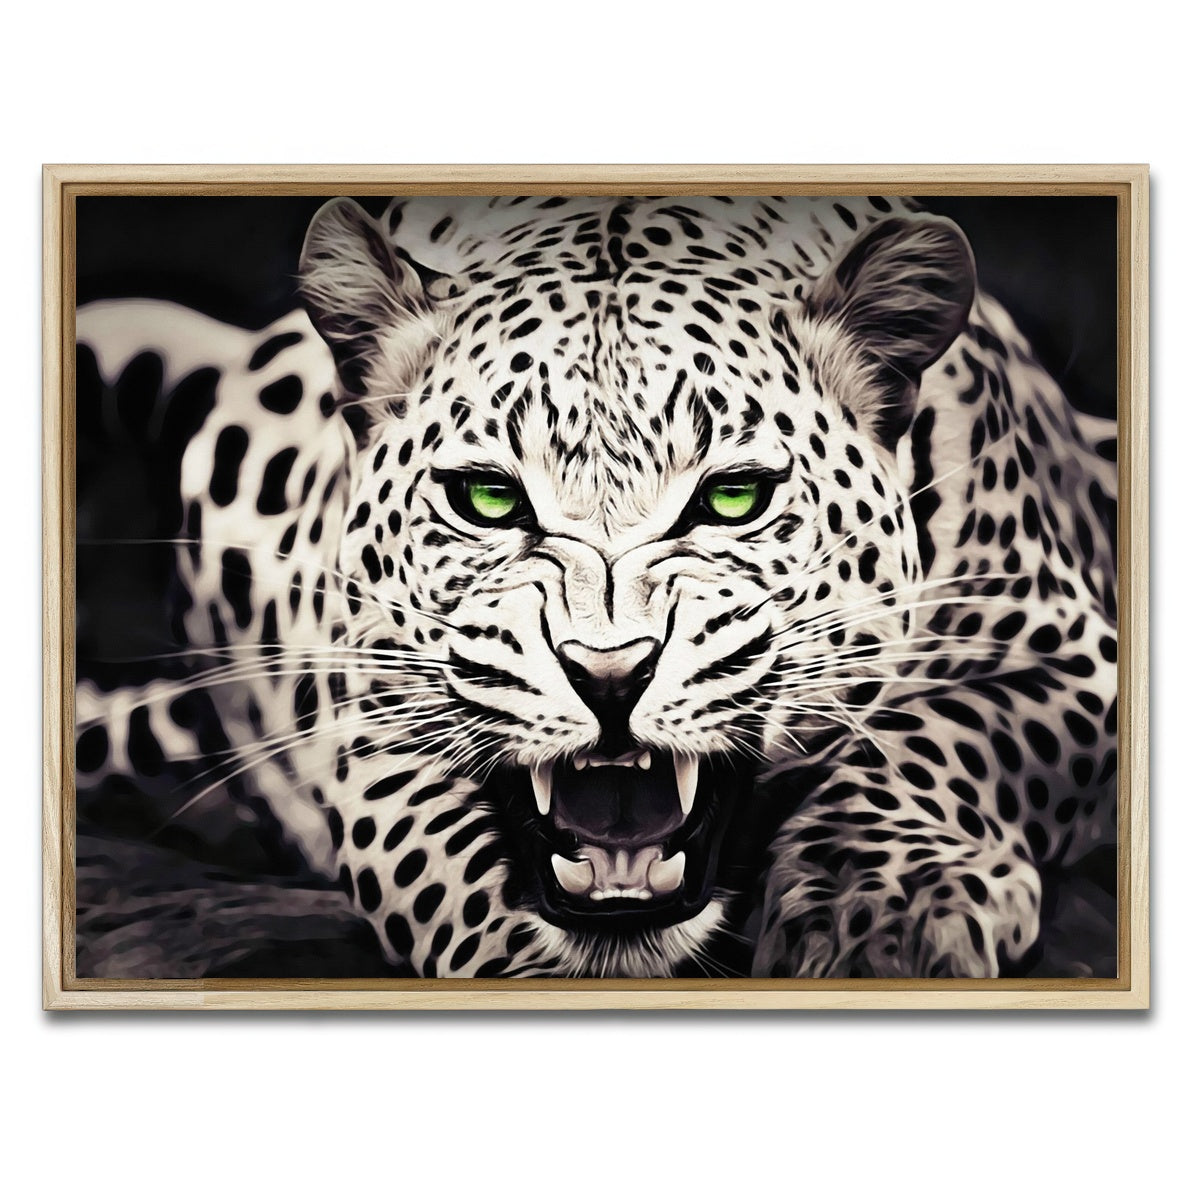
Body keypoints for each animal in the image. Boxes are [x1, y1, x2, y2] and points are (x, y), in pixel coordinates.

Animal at [74, 194, 1119, 979]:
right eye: (488, 498)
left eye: (732, 497)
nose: (609, 675)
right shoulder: (374, 725)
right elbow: (442, 865)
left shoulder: (1073, 659)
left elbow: (939, 735)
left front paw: (881, 911)